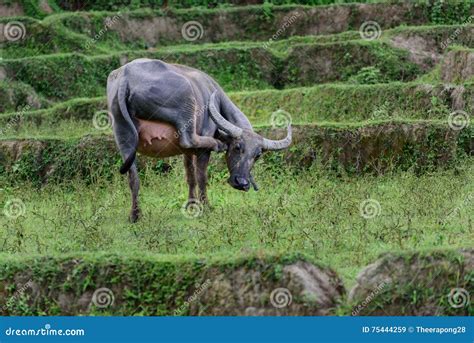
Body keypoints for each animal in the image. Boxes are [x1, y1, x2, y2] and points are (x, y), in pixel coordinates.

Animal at [107, 58, 292, 223]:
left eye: (258, 155)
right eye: (237, 147)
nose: (242, 183)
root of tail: (126, 77)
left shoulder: (186, 154)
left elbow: (190, 177)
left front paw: (191, 204)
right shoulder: (201, 152)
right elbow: (202, 177)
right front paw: (206, 206)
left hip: (122, 133)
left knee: (133, 177)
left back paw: (135, 215)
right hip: (186, 103)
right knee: (189, 139)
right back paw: (216, 143)